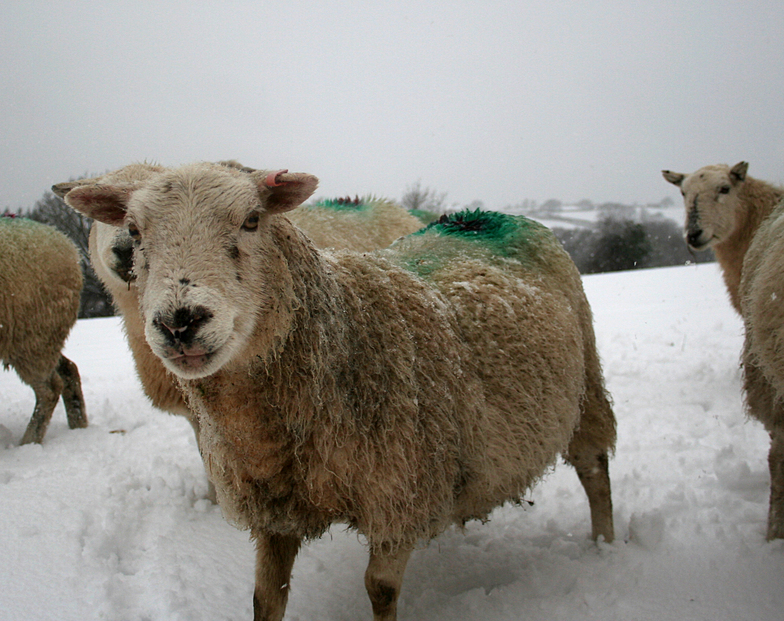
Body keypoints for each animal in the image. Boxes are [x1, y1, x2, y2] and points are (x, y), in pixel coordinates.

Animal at [0, 216, 87, 444]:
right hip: (45, 338)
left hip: (32, 335)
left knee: (49, 389)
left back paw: (29, 441)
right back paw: (79, 426)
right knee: (68, 370)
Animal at [64, 161, 616, 620]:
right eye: (135, 230)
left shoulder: (401, 496)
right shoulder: (274, 514)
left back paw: (605, 549)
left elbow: (380, 591)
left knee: (594, 470)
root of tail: (482, 215)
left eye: (252, 219)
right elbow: (265, 598)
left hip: (587, 382)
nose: (179, 322)